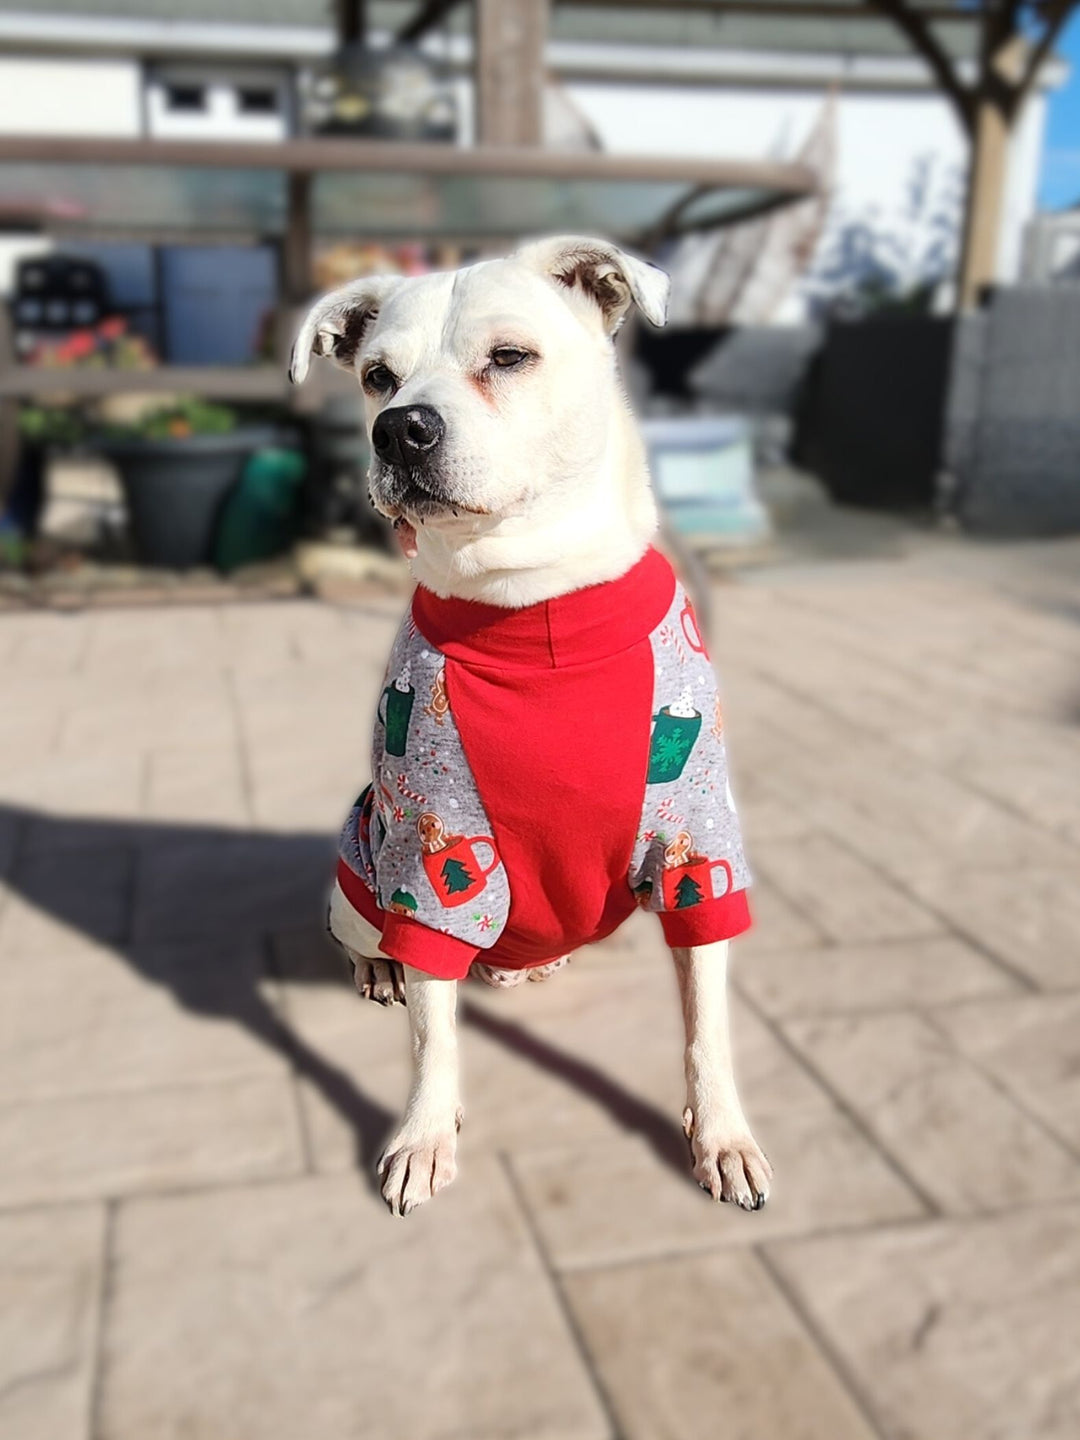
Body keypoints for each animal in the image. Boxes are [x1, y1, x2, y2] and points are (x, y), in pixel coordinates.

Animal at [292, 233, 771, 1215]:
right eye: (376, 376)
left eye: (509, 357)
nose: (399, 428)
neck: (531, 606)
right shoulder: (432, 857)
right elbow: (433, 1033)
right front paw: (423, 1136)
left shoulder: (699, 844)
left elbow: (707, 1022)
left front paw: (724, 1138)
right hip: (363, 859)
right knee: (363, 934)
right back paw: (376, 967)